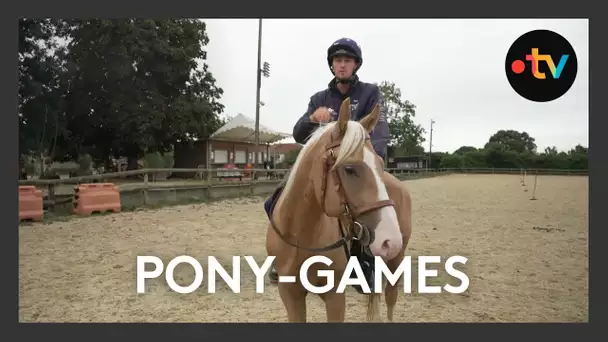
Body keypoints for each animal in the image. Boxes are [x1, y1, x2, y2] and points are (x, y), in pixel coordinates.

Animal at [266, 97, 414, 322]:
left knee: (390, 298)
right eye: (349, 169)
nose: (390, 240)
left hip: (395, 260)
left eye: (381, 164)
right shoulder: (290, 294)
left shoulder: (335, 296)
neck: (301, 236)